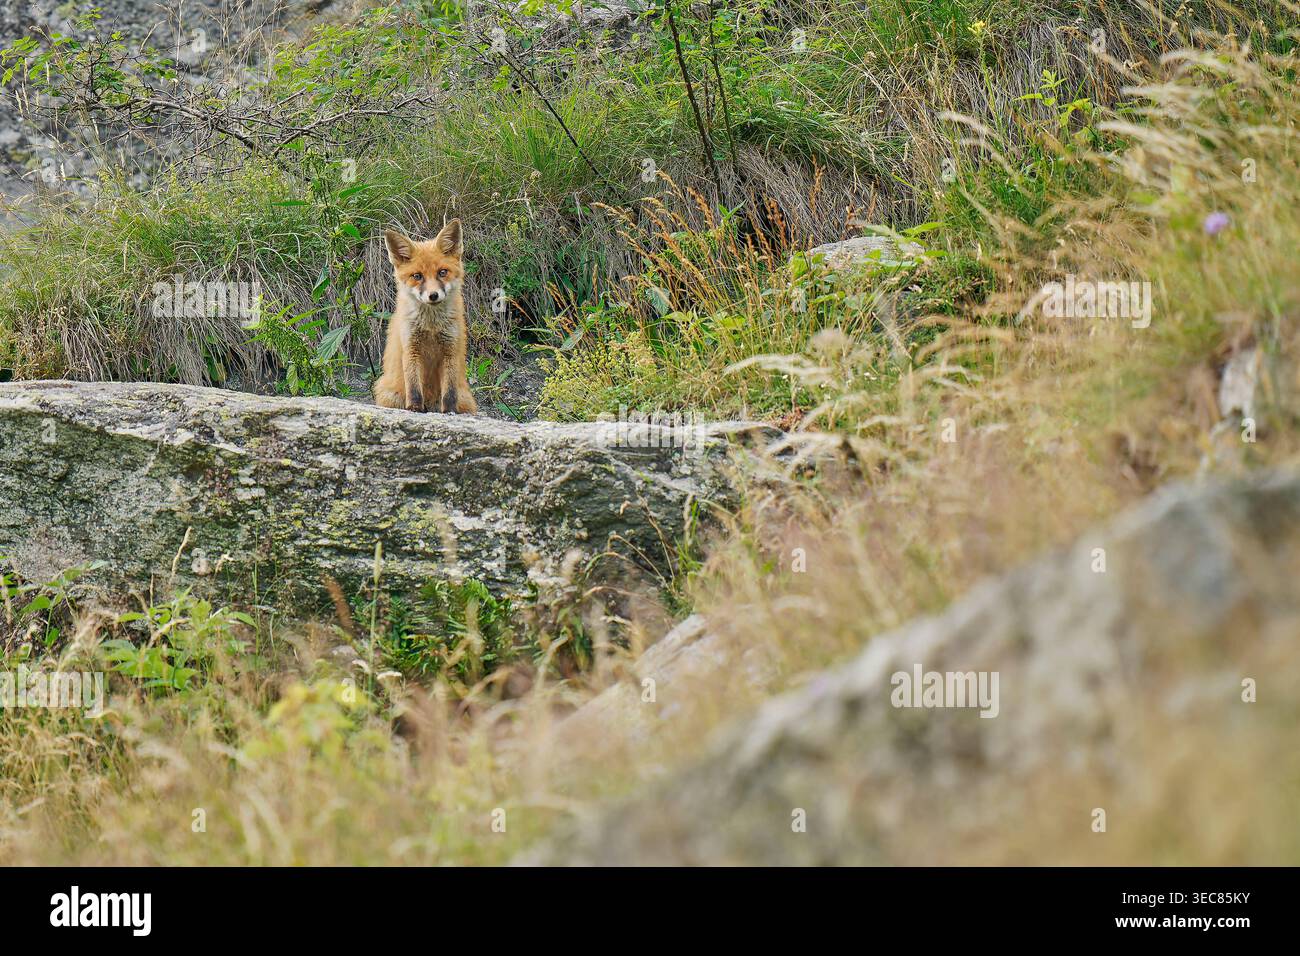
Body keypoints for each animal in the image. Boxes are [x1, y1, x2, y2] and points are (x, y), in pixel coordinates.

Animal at [373, 220, 478, 414]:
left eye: (442, 272)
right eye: (417, 276)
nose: (433, 295)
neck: (431, 326)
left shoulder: (450, 349)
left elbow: (449, 391)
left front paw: (449, 411)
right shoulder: (411, 348)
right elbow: (414, 386)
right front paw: (415, 408)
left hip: (466, 399)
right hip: (390, 396)